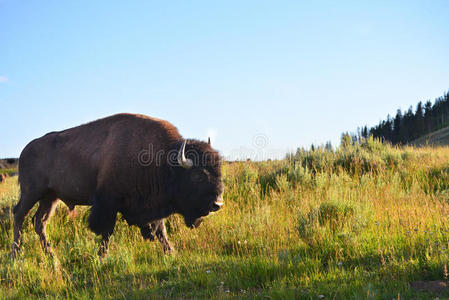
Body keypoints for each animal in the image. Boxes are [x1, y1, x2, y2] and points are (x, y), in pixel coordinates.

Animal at [11, 112, 224, 258]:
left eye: (218, 170)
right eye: (197, 175)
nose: (218, 204)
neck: (162, 161)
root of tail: (24, 151)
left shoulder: (153, 205)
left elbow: (160, 230)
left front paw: (171, 252)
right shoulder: (108, 202)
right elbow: (107, 231)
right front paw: (101, 257)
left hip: (50, 197)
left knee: (40, 222)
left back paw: (51, 255)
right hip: (32, 192)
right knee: (19, 214)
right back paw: (16, 254)